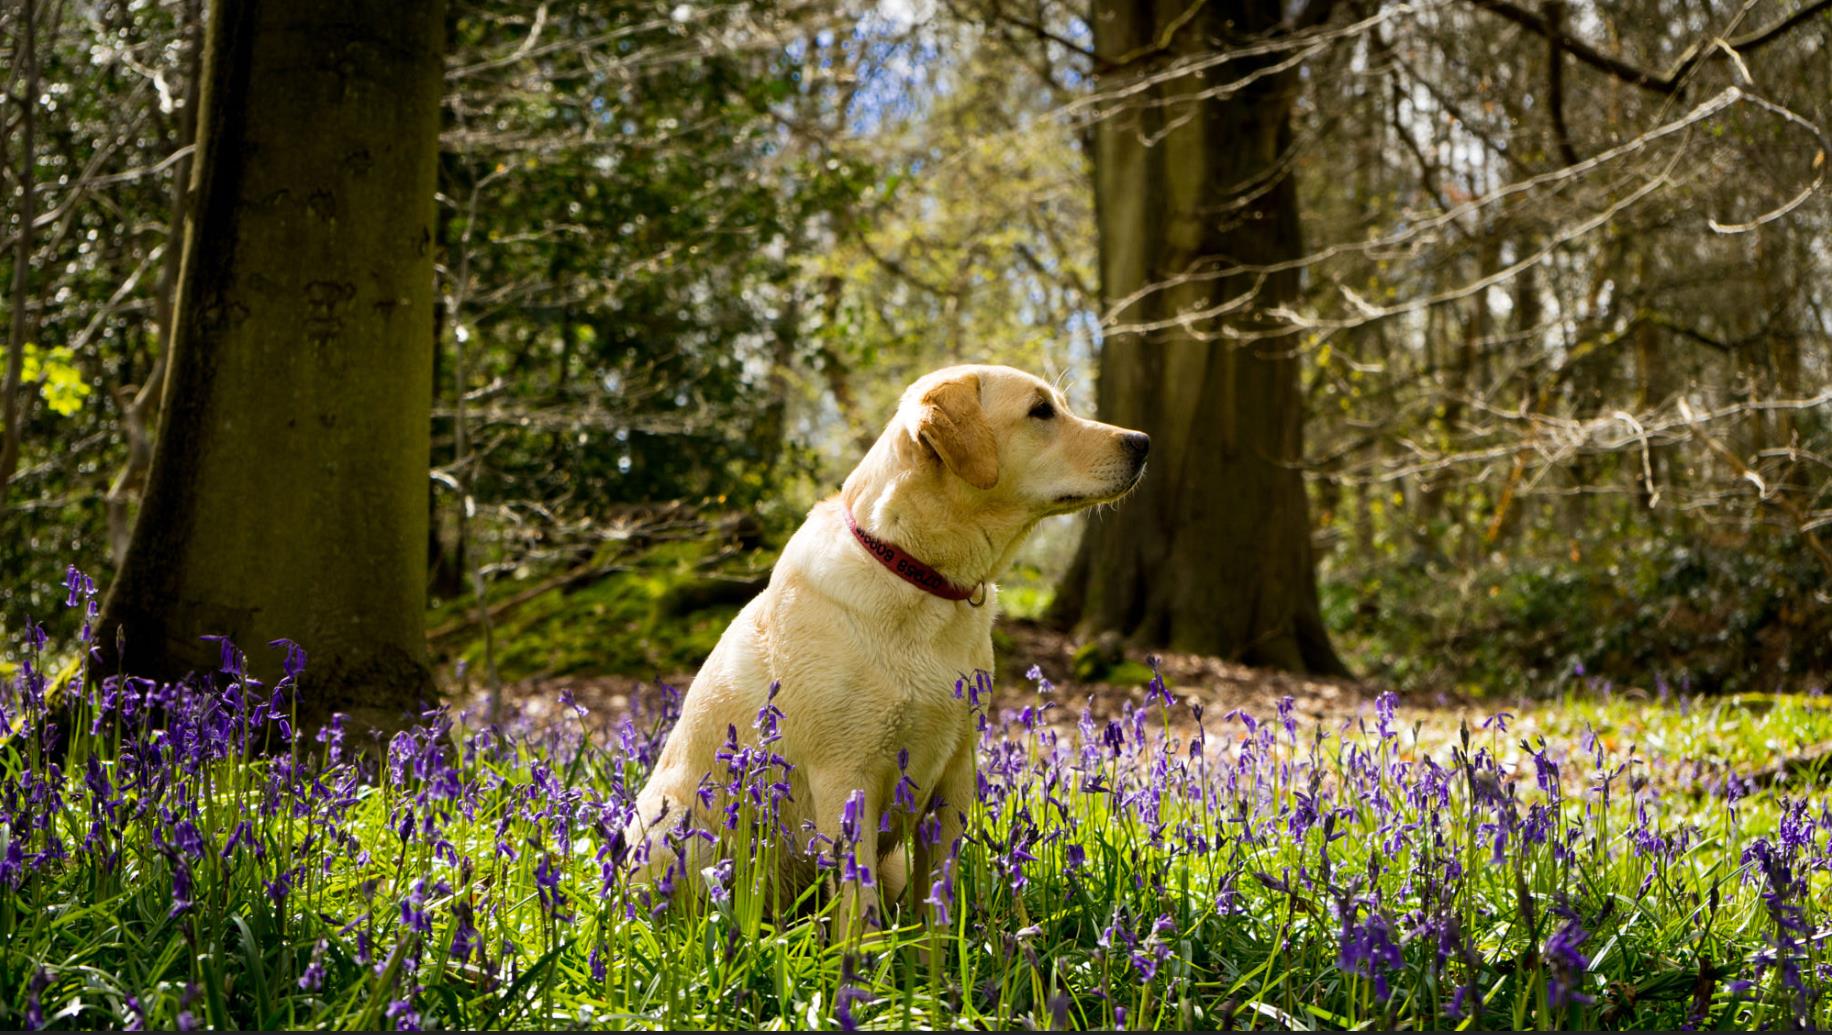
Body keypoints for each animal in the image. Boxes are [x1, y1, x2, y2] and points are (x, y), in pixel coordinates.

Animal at [630, 360, 1143, 926]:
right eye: (1040, 411)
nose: (1142, 441)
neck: (920, 574)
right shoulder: (846, 777)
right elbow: (861, 913)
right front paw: (864, 954)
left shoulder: (955, 774)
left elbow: (937, 901)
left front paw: (939, 952)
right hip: (682, 831)